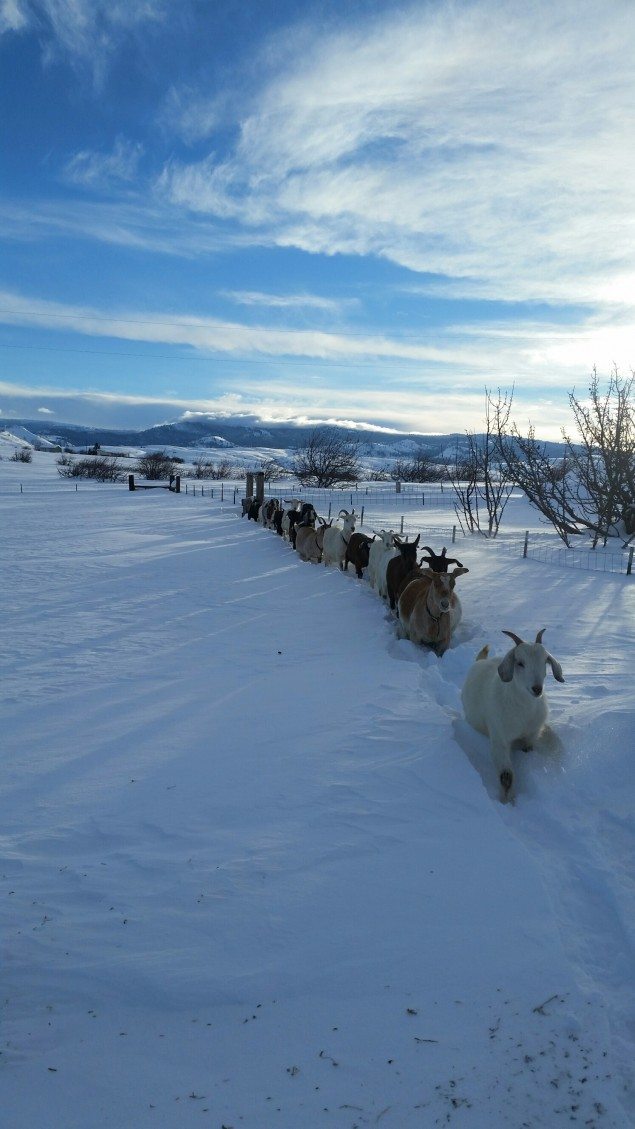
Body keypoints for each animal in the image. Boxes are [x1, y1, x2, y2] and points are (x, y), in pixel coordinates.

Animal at [458, 627, 562, 803]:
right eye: (520, 663)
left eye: (545, 661)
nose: (537, 689)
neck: (524, 712)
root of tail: (479, 662)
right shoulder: (499, 739)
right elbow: (506, 776)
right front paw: (507, 801)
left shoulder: (532, 735)